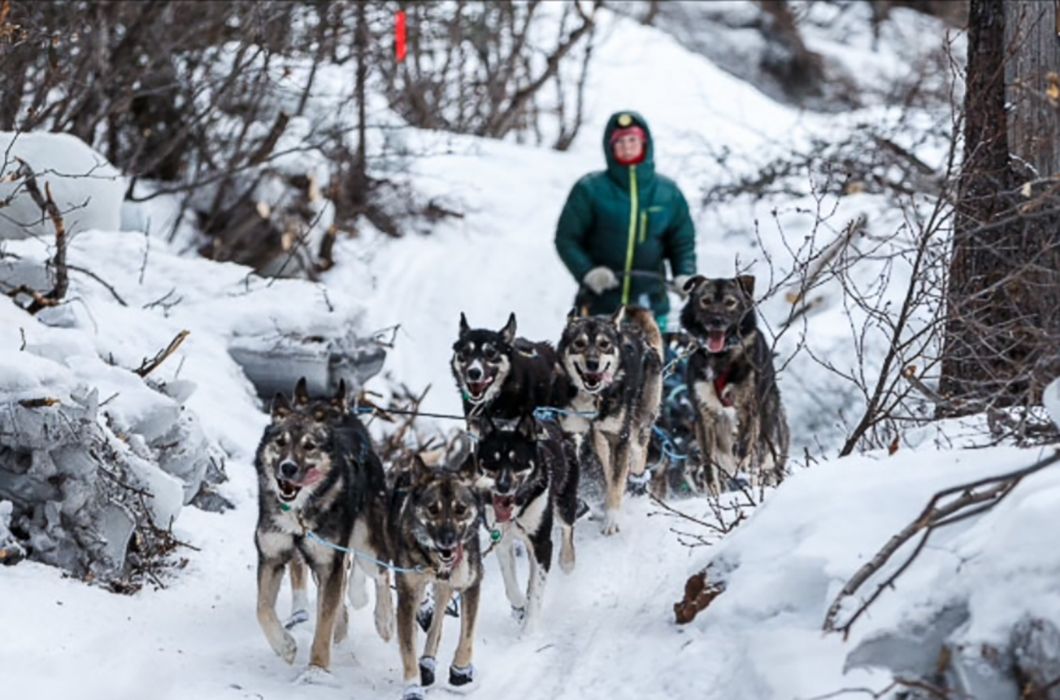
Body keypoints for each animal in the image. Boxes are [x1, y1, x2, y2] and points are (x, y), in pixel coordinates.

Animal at [253, 377, 394, 678]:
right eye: (280, 442)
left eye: (309, 446)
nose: (287, 468)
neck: (299, 513)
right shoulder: (271, 556)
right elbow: (262, 608)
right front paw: (284, 646)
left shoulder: (330, 563)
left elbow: (324, 622)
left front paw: (316, 668)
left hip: (367, 545)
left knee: (381, 574)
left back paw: (384, 620)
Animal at [387, 447, 483, 699]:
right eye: (433, 509)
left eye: (460, 509)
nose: (447, 540)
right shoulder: (407, 594)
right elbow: (408, 646)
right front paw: (412, 686)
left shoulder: (471, 585)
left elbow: (467, 636)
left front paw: (461, 671)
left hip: (445, 588)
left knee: (438, 618)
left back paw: (428, 661)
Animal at [476, 415, 580, 636]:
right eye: (493, 460)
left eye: (517, 460)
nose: (503, 486)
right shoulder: (501, 540)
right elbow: (511, 585)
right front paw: (519, 606)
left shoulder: (542, 544)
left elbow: (536, 592)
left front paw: (529, 630)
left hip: (564, 504)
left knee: (568, 528)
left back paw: (567, 561)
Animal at [555, 305, 661, 536]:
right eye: (579, 343)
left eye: (604, 344)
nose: (593, 364)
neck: (593, 398)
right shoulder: (571, 434)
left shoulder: (619, 438)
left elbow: (616, 483)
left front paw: (611, 520)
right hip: (600, 440)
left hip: (638, 430)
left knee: (636, 460)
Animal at [678, 275, 788, 494]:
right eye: (706, 301)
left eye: (730, 302)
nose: (716, 321)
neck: (721, 356)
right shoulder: (704, 415)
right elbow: (708, 462)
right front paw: (713, 490)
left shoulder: (749, 407)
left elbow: (745, 444)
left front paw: (743, 462)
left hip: (769, 420)